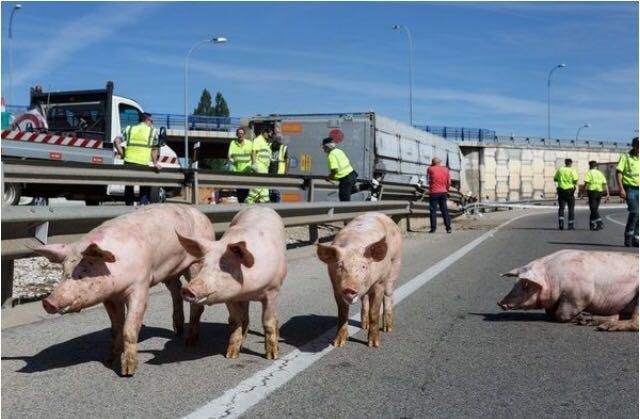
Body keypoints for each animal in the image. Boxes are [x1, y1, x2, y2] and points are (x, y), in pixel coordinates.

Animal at [34, 204, 215, 378]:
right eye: (63, 272)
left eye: (83, 272)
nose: (48, 301)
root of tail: (201, 213)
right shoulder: (110, 297)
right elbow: (115, 328)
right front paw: (109, 360)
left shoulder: (140, 285)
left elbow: (129, 328)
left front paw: (127, 372)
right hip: (169, 271)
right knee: (176, 289)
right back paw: (178, 330)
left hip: (196, 262)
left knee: (195, 300)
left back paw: (189, 342)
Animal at [175, 207, 284, 360]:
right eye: (203, 264)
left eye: (225, 266)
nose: (187, 289)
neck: (248, 290)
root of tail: (260, 207)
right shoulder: (230, 297)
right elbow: (235, 321)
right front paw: (231, 355)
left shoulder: (272, 290)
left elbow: (267, 321)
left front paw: (272, 356)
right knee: (245, 318)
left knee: (273, 318)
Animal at [318, 213, 402, 348]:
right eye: (340, 266)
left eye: (363, 266)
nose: (349, 288)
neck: (354, 245)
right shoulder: (336, 287)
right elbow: (342, 314)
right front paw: (338, 344)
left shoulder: (379, 283)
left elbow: (374, 312)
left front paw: (374, 344)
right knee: (364, 299)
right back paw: (364, 326)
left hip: (395, 264)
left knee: (388, 295)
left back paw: (387, 329)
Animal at [498, 249, 636, 332]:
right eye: (515, 283)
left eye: (526, 285)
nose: (500, 303)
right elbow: (550, 312)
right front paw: (581, 319)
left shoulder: (578, 295)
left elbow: (561, 314)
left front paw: (578, 318)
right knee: (617, 316)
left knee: (634, 322)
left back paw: (603, 327)